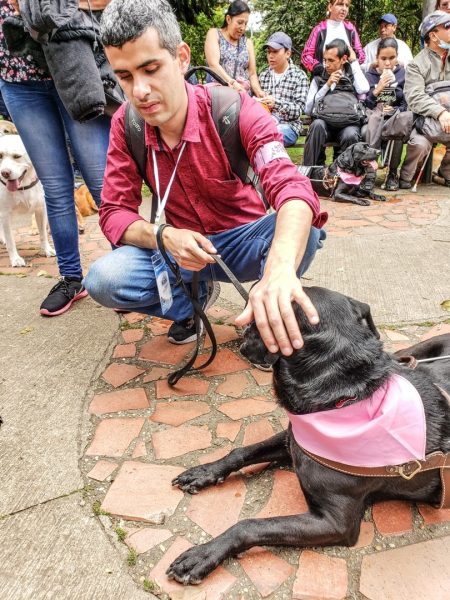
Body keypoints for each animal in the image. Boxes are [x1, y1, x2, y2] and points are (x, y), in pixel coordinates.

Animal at [0, 137, 55, 268]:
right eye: (0, 155)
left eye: (17, 156)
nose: (4, 173)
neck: (22, 187)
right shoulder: (5, 214)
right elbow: (10, 241)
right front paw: (15, 259)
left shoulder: (41, 209)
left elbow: (43, 234)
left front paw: (47, 250)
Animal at [168, 288, 450, 584]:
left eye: (260, 317)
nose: (243, 326)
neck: (344, 398)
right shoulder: (295, 440)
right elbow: (241, 451)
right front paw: (204, 473)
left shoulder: (335, 523)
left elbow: (250, 525)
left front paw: (203, 554)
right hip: (409, 352)